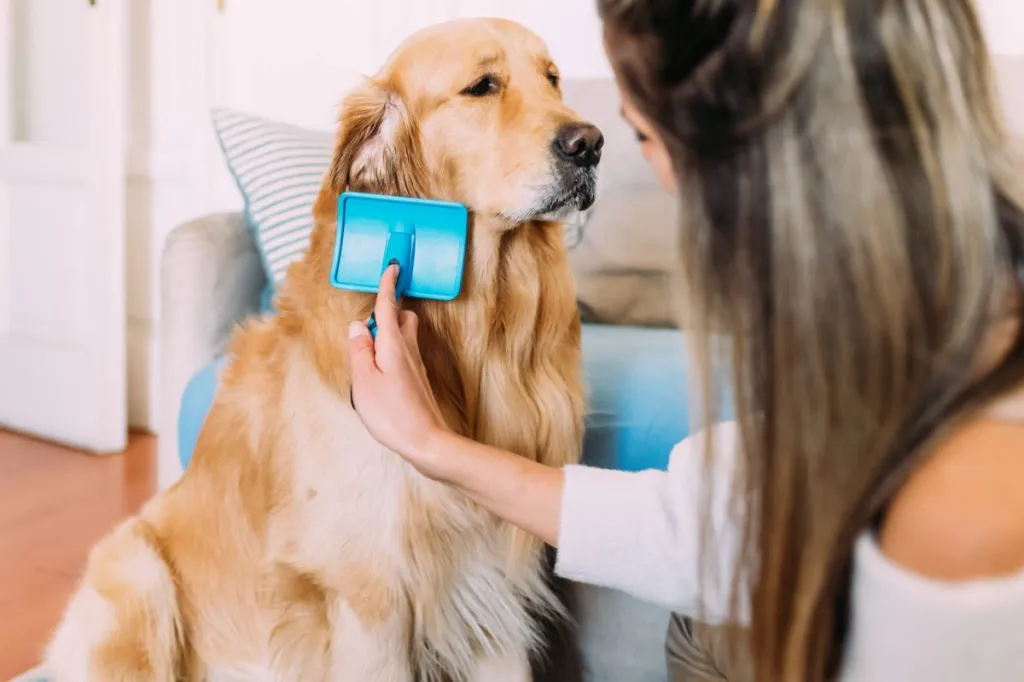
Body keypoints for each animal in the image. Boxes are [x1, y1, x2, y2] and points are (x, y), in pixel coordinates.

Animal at [44, 14, 598, 679]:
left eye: (553, 79)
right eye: (482, 86)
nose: (591, 144)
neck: (473, 333)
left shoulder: (489, 600)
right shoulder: (368, 596)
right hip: (139, 574)